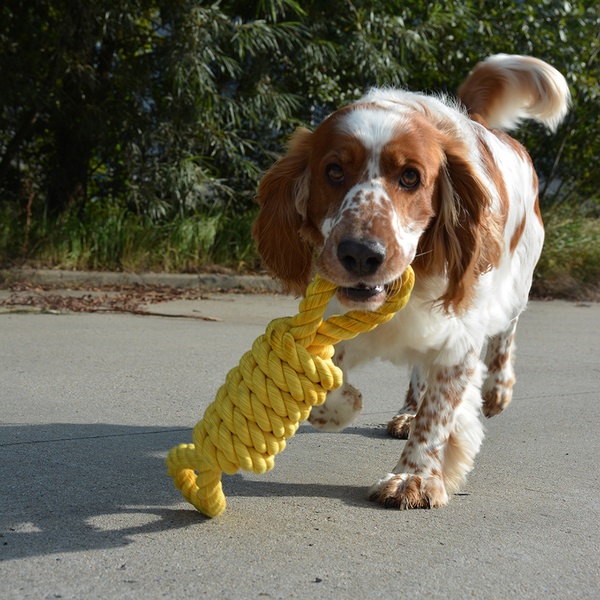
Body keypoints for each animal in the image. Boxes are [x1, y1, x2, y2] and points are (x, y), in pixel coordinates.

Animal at [251, 54, 568, 508]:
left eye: (411, 177)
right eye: (334, 171)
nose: (361, 254)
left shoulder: (462, 334)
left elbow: (438, 415)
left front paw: (414, 478)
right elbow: (328, 374)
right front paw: (339, 409)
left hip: (518, 280)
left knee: (506, 334)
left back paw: (496, 390)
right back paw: (406, 412)